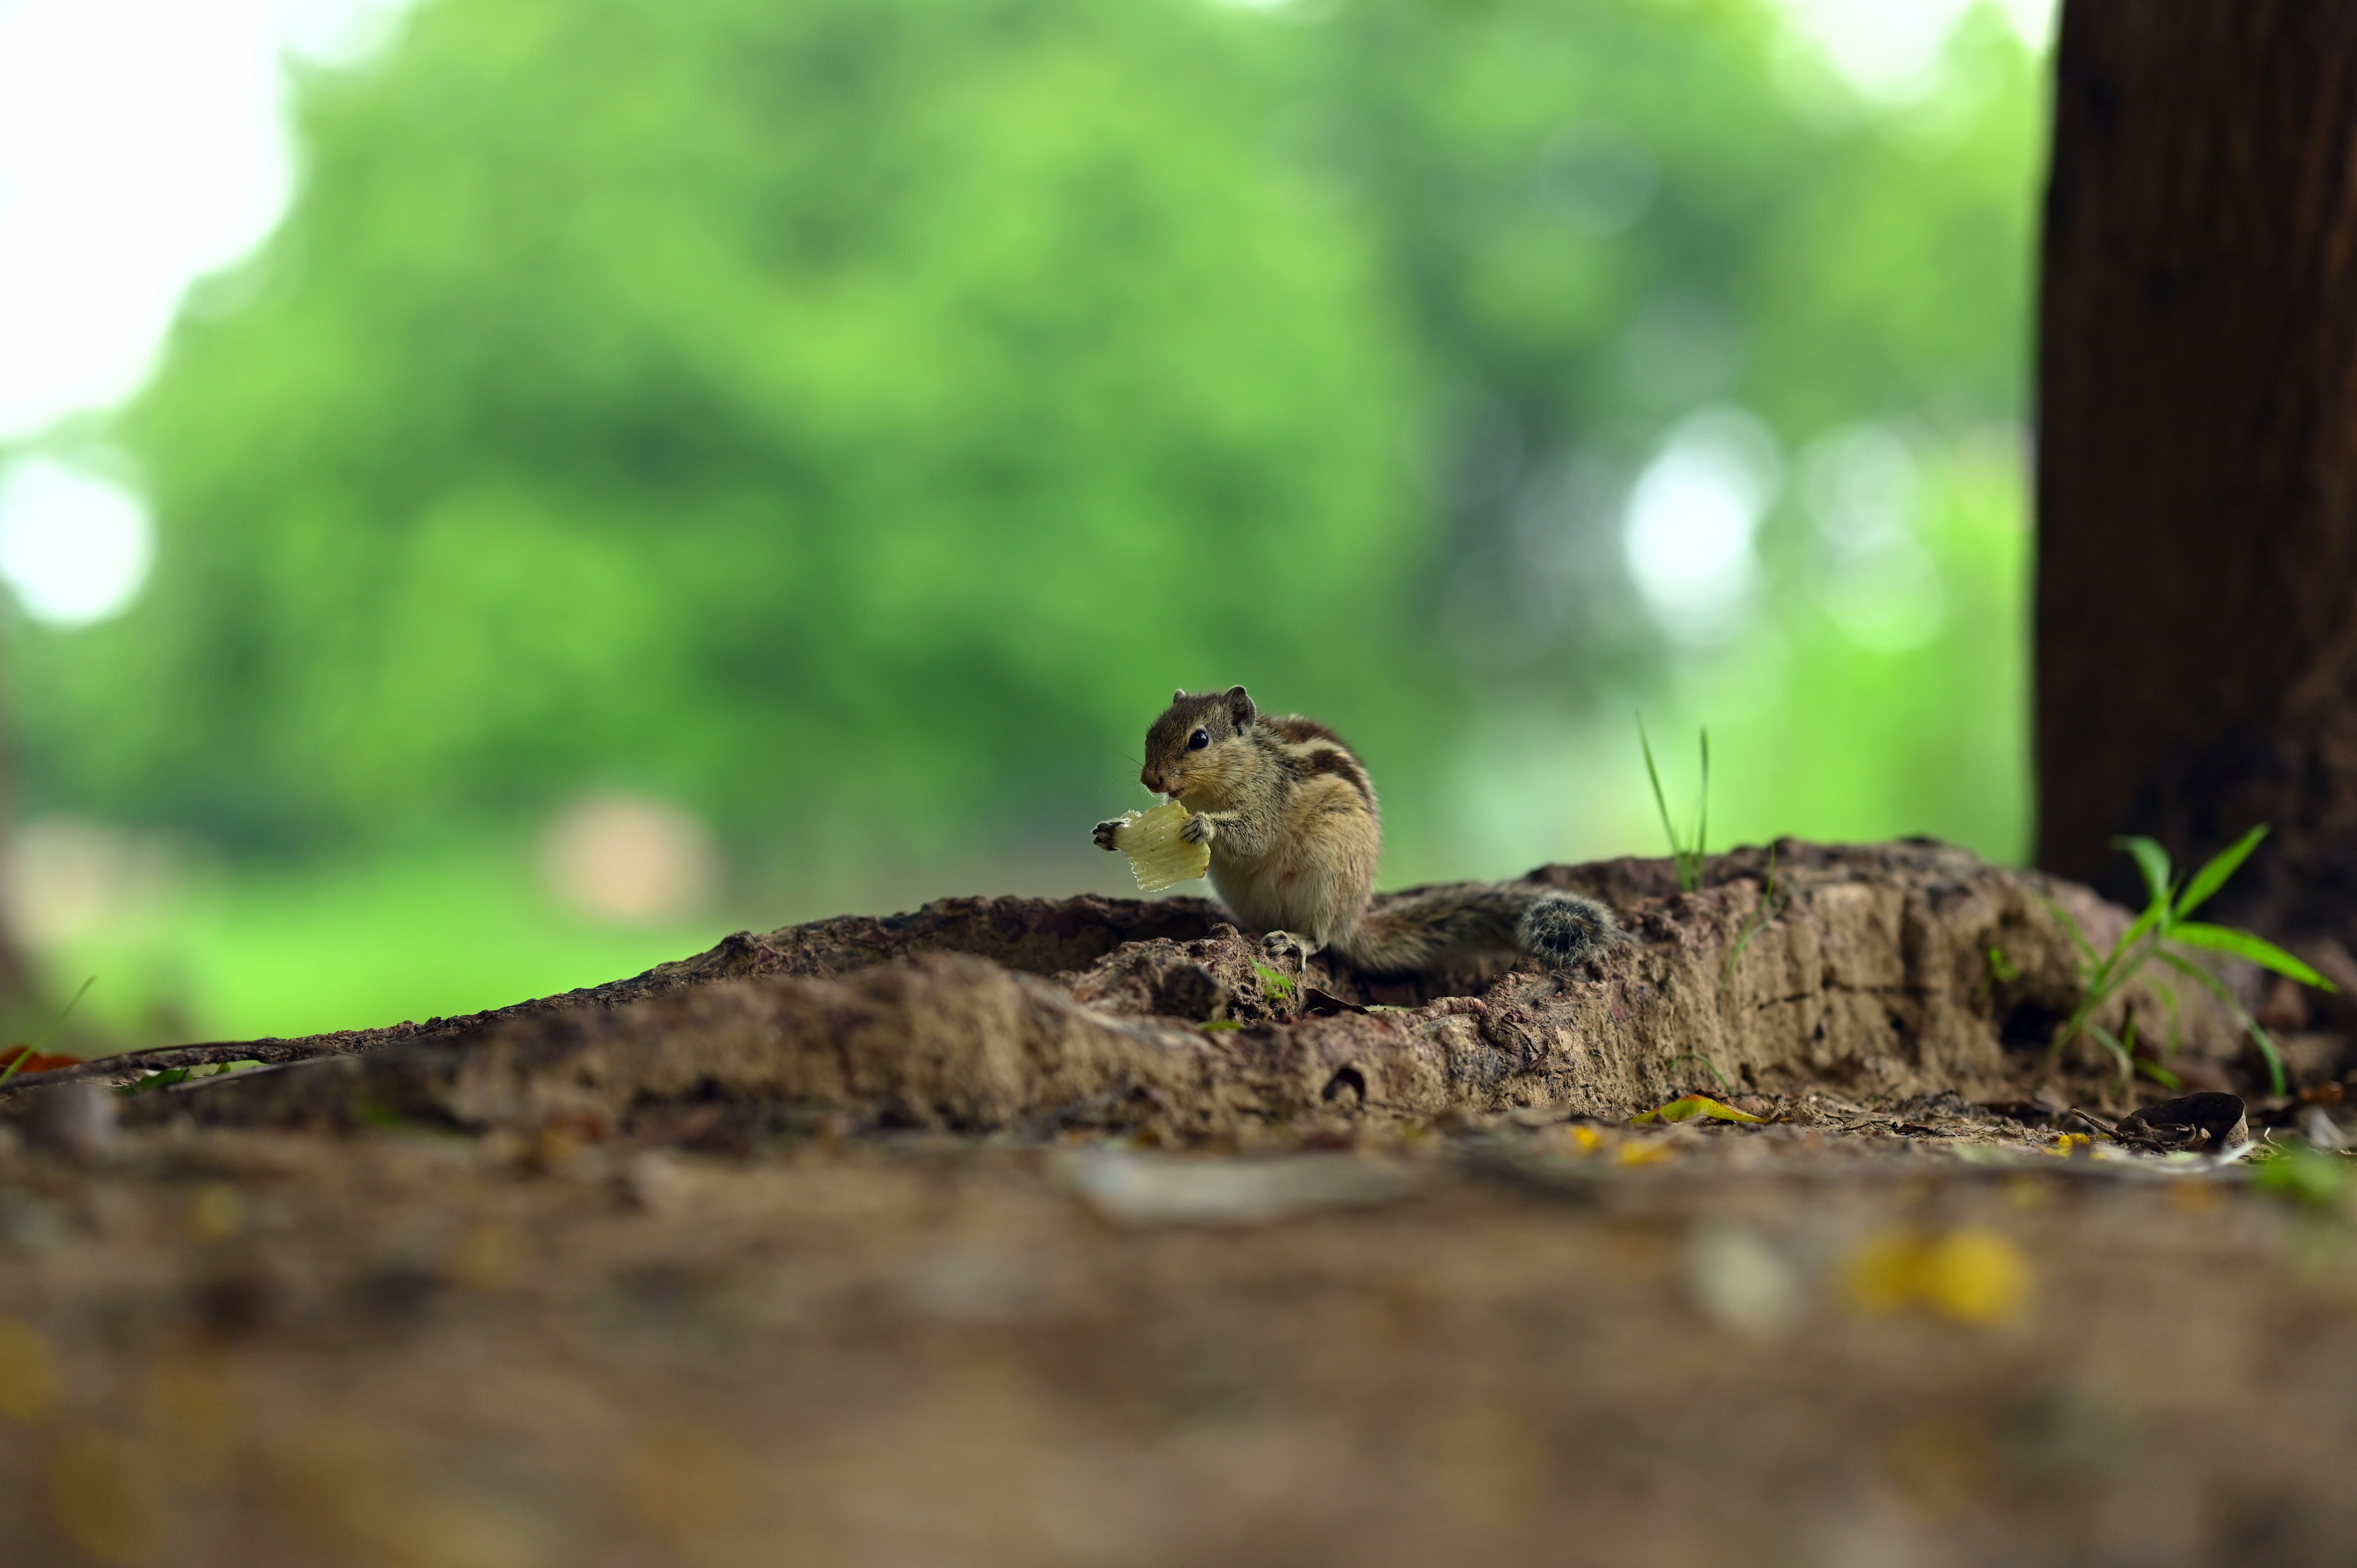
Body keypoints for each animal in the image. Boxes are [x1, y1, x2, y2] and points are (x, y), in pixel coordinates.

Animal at [1093, 686, 1623, 976]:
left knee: (1324, 938)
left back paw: (1296, 940)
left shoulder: (1270, 798)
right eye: (1152, 731)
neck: (1245, 764)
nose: (1151, 780)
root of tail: (1355, 919)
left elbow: (1254, 834)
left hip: (1330, 872)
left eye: (1199, 739)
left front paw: (1203, 825)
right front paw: (1110, 831)